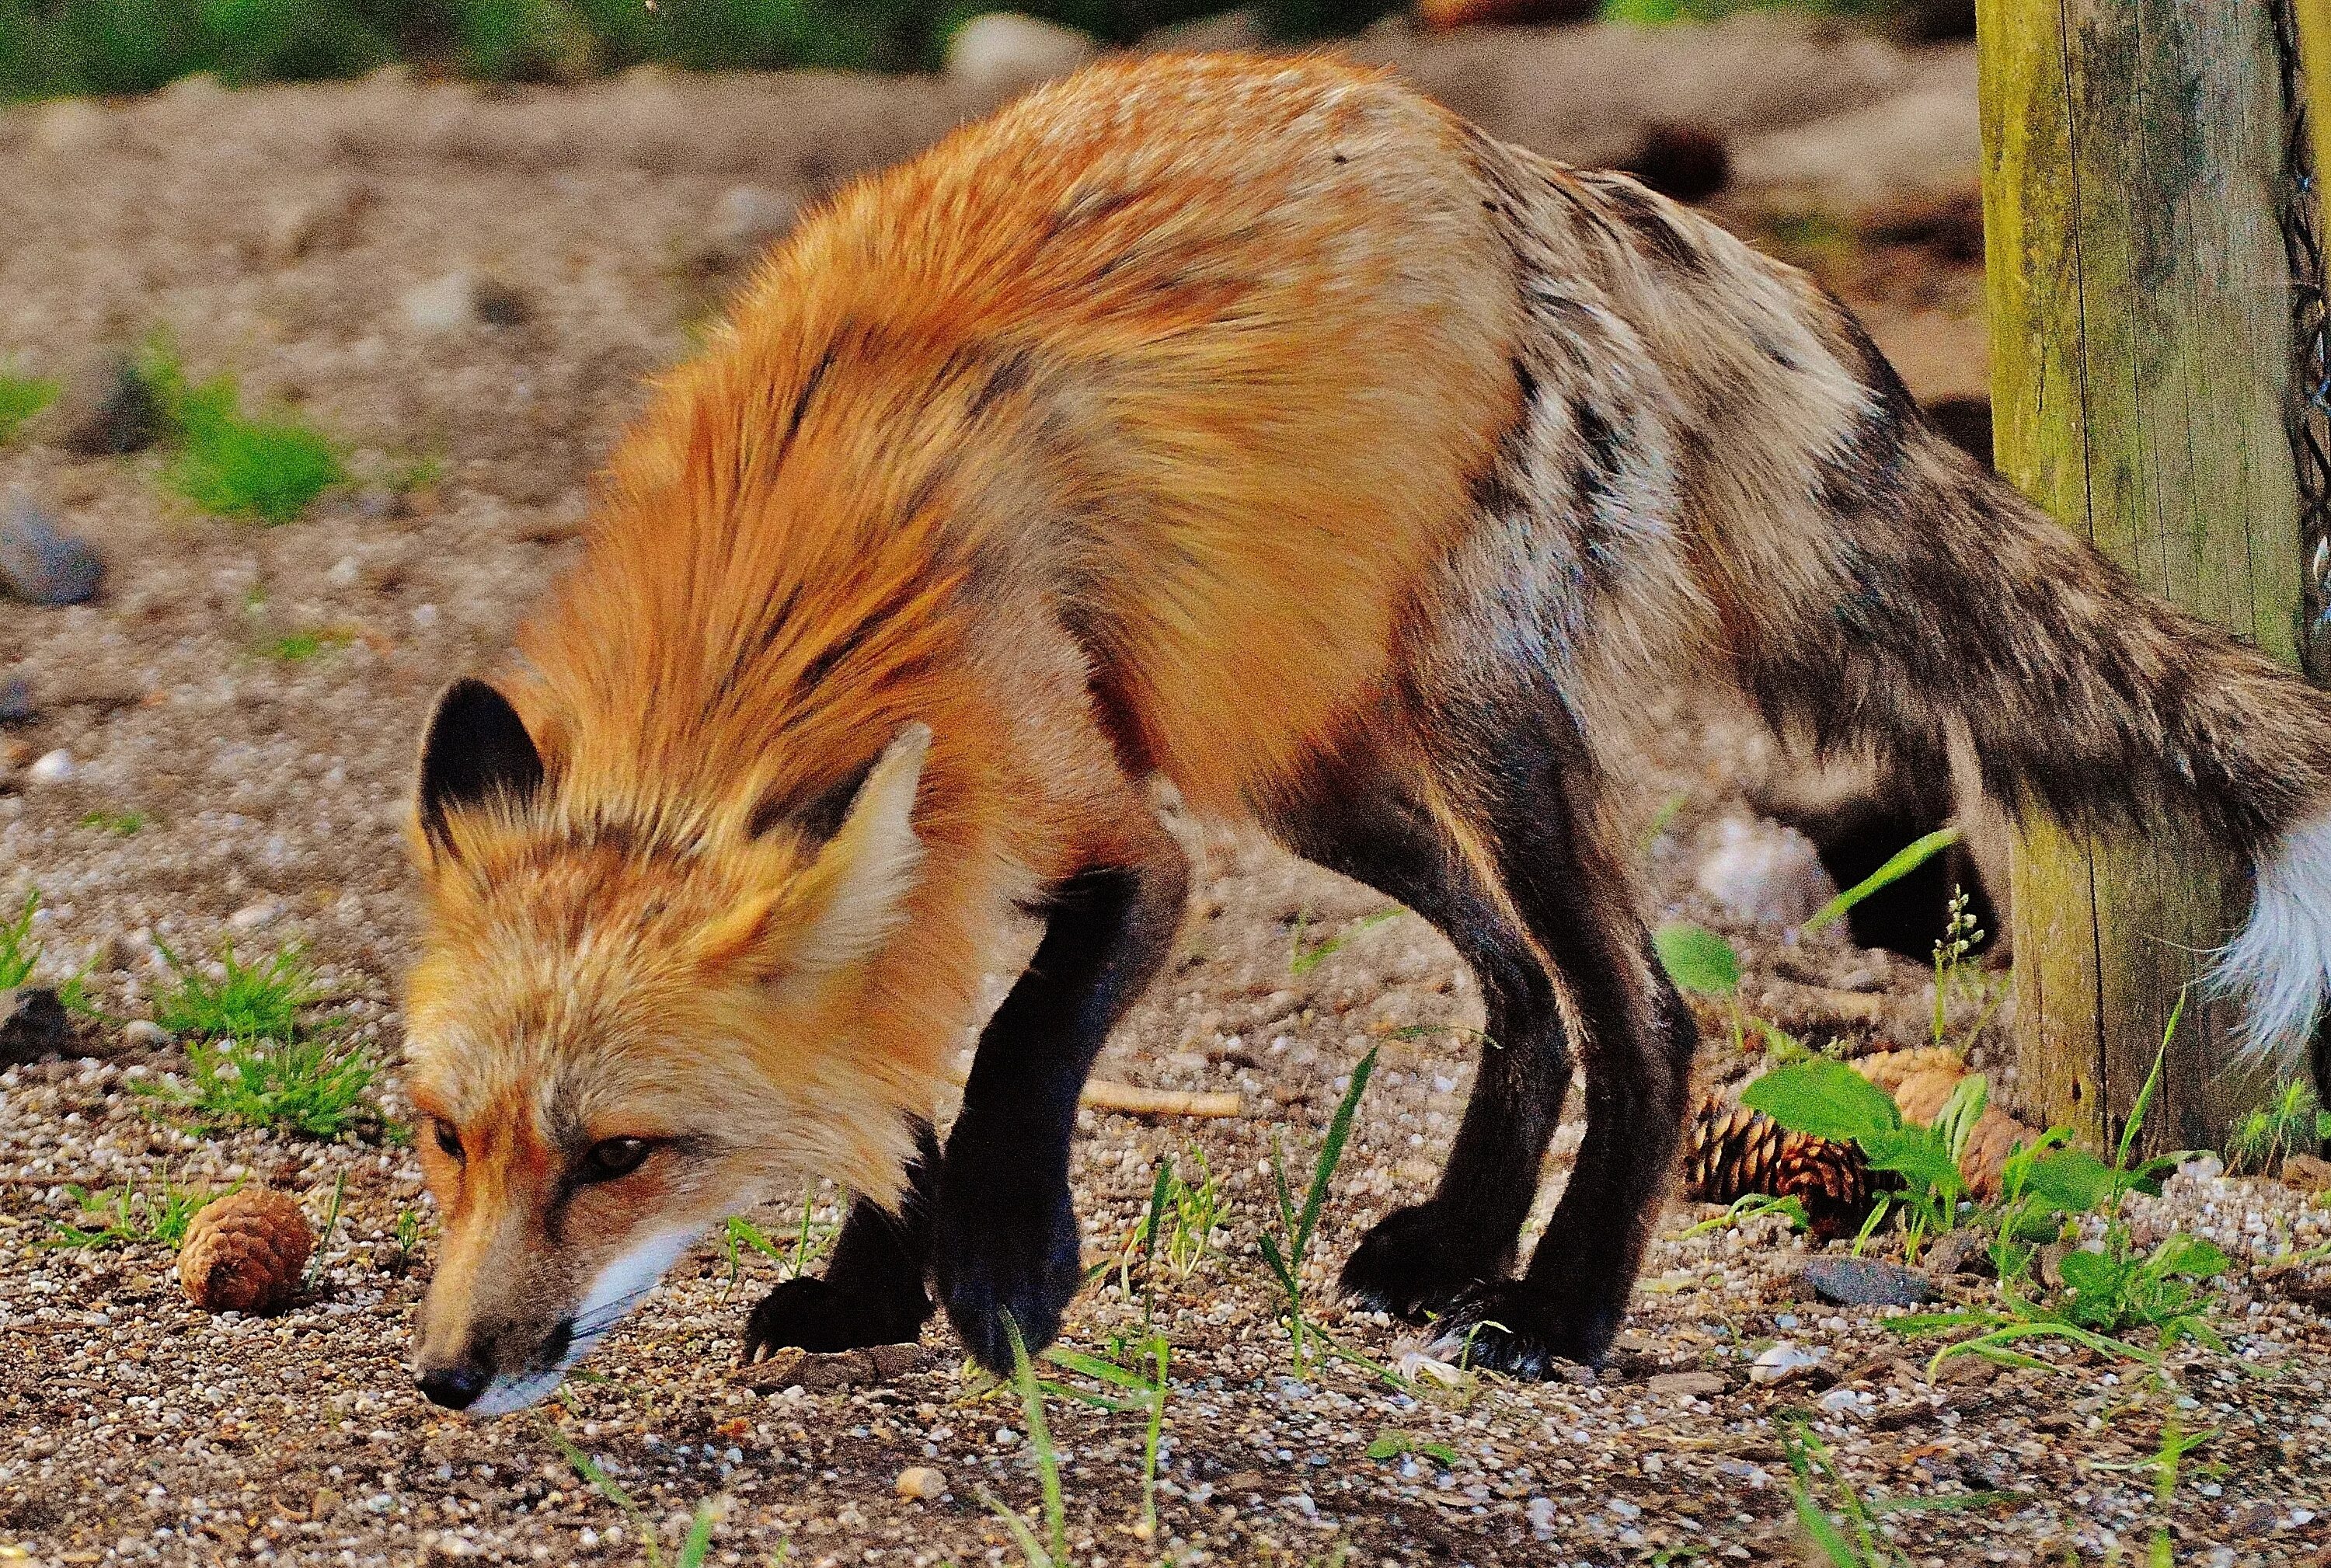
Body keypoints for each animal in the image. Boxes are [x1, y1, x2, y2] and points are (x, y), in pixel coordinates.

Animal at [410, 54, 2331, 1416]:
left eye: (623, 1153)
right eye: (444, 1138)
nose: (448, 1372)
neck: (788, 595)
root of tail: (1519, 165)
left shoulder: (1117, 840)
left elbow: (1010, 1057)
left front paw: (1006, 1271)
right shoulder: (939, 855)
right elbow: (903, 1070)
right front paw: (880, 1282)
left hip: (1473, 739)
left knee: (1644, 1015)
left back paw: (1558, 1309)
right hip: (1313, 763)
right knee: (1524, 996)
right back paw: (1460, 1249)